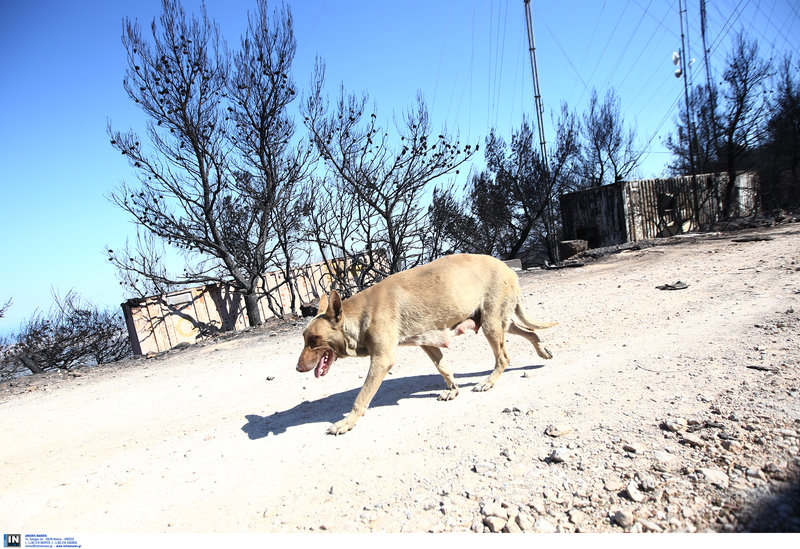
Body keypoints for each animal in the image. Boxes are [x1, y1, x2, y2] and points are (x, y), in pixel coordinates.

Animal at [296, 255, 556, 434]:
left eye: (314, 341)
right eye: (304, 339)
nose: (297, 369)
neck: (360, 314)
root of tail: (508, 268)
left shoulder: (381, 360)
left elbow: (361, 398)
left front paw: (346, 423)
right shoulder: (427, 343)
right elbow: (444, 369)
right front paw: (453, 389)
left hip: (492, 325)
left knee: (503, 357)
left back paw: (488, 382)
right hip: (499, 322)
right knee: (530, 332)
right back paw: (542, 350)